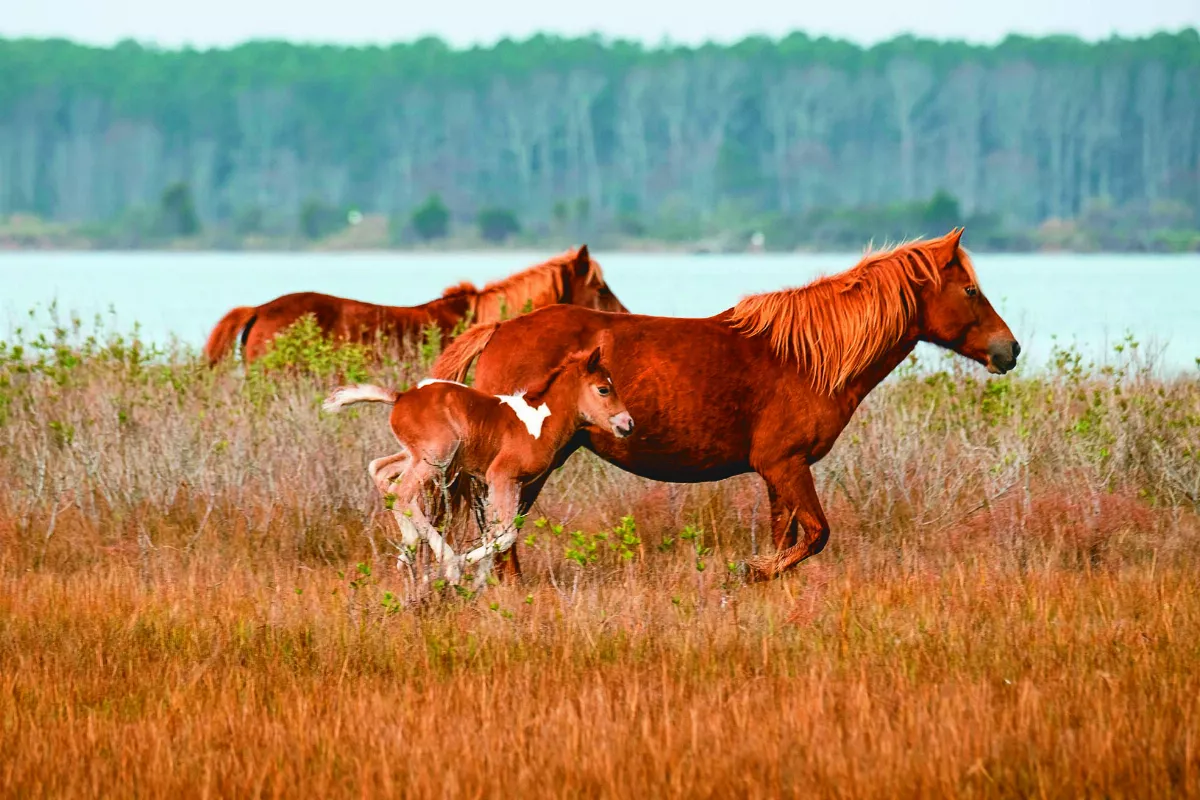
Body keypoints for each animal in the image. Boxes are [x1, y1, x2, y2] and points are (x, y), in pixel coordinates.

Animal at [322, 332, 634, 589]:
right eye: (603, 389)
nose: (628, 424)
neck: (538, 421)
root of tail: (400, 396)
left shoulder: (513, 483)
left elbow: (497, 531)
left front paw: (482, 580)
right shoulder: (501, 476)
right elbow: (505, 534)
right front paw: (458, 570)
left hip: (419, 456)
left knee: (380, 470)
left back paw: (408, 550)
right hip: (437, 456)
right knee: (401, 491)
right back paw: (444, 559)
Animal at [430, 229, 1020, 580]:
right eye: (970, 290)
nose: (1008, 349)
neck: (808, 356)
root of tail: (501, 328)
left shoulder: (781, 473)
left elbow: (791, 536)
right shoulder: (785, 465)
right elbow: (816, 534)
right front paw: (752, 572)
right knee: (498, 525)